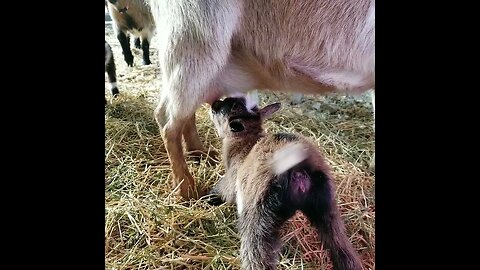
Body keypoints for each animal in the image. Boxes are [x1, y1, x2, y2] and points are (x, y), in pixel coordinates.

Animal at [208, 97, 362, 270]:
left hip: (259, 217)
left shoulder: (231, 180)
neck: (246, 144)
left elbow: (223, 192)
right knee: (341, 246)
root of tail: (299, 171)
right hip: (326, 208)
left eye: (223, 111)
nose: (214, 104)